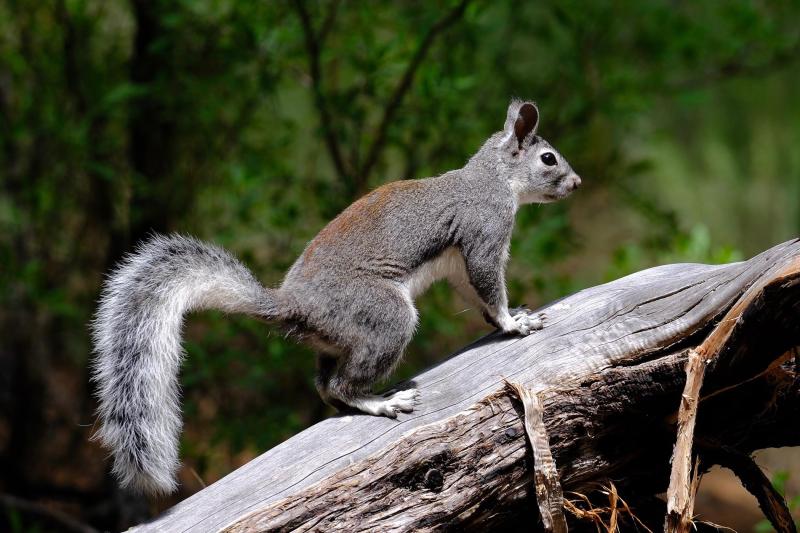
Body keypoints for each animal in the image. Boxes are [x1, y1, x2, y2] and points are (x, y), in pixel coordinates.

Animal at [91, 99, 581, 495]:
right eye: (548, 158)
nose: (576, 183)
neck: (494, 178)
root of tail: (291, 306)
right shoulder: (483, 230)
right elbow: (488, 282)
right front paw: (514, 322)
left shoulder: (459, 261)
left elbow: (473, 291)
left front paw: (505, 317)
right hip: (383, 315)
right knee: (344, 384)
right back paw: (382, 402)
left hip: (338, 339)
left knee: (326, 386)